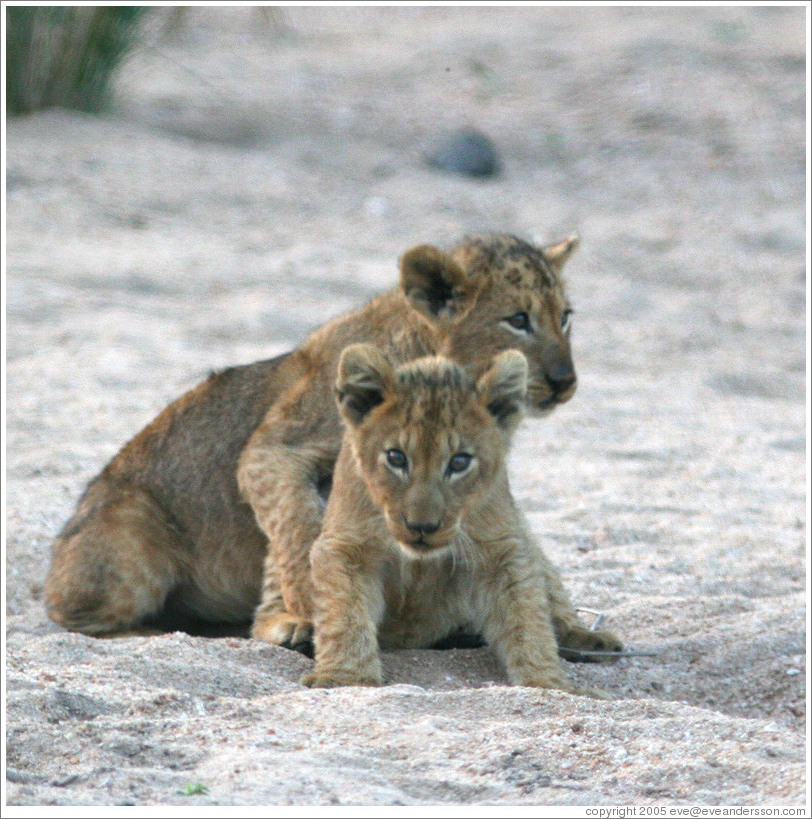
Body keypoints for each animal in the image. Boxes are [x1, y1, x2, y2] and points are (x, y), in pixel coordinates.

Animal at [302, 345, 614, 691]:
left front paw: (547, 683)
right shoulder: (345, 545)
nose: (421, 527)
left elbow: (526, 615)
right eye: (396, 457)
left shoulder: (503, 546)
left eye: (460, 461)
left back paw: (591, 640)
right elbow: (344, 613)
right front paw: (345, 678)